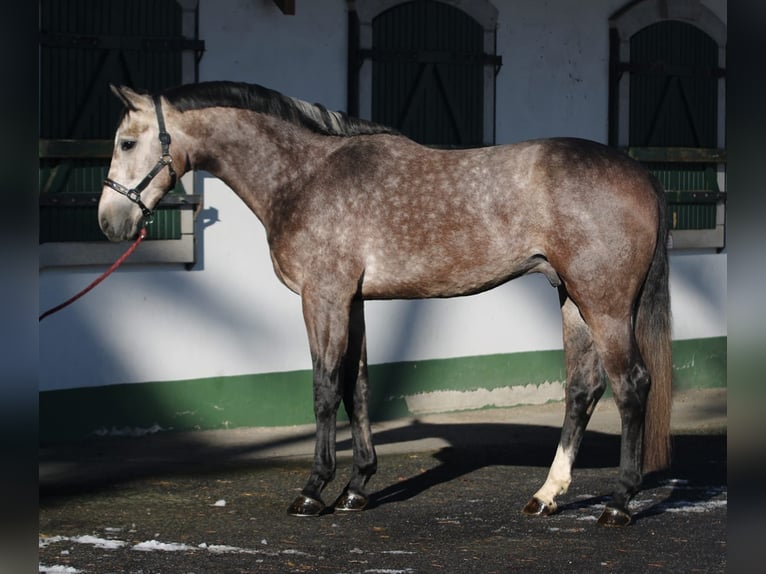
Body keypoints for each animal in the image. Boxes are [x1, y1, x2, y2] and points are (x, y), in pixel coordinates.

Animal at [97, 81, 672, 528]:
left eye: (127, 141)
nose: (109, 222)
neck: (306, 176)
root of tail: (641, 174)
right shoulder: (352, 301)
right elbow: (359, 388)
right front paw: (357, 489)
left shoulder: (324, 297)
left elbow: (325, 389)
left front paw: (313, 491)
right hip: (573, 299)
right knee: (582, 389)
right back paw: (547, 497)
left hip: (604, 303)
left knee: (631, 386)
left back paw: (619, 504)